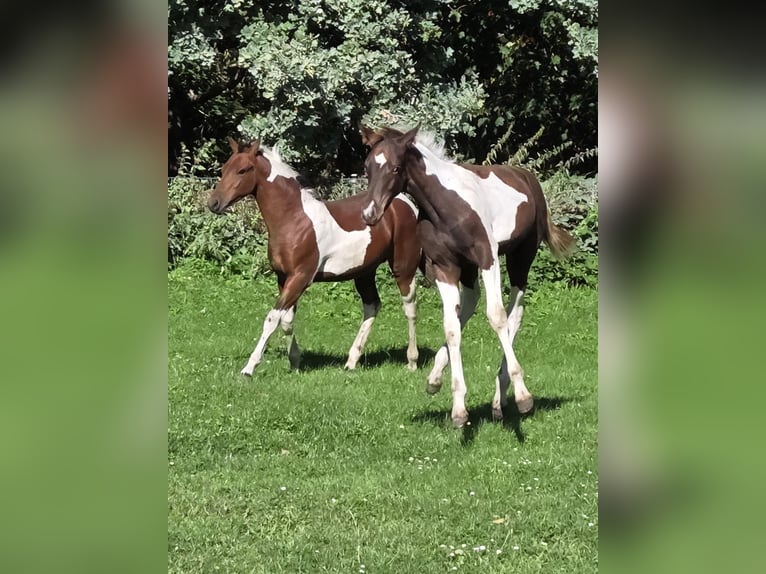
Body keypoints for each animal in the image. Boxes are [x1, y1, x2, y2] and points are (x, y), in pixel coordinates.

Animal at [207, 137, 421, 375]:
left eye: (243, 170)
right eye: (224, 169)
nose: (213, 203)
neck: (295, 220)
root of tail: (405, 203)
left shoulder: (300, 277)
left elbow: (272, 319)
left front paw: (249, 368)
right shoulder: (284, 278)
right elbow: (287, 320)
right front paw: (295, 362)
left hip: (403, 267)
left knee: (410, 308)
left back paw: (412, 361)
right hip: (364, 272)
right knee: (372, 305)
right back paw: (351, 361)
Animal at [359, 126, 575, 427]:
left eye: (395, 168)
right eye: (367, 167)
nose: (369, 213)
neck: (446, 206)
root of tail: (528, 178)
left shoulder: (488, 258)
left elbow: (497, 317)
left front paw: (523, 395)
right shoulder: (444, 267)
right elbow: (451, 327)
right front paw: (458, 407)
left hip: (520, 257)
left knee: (514, 315)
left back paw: (502, 397)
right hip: (470, 271)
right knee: (470, 306)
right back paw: (441, 379)